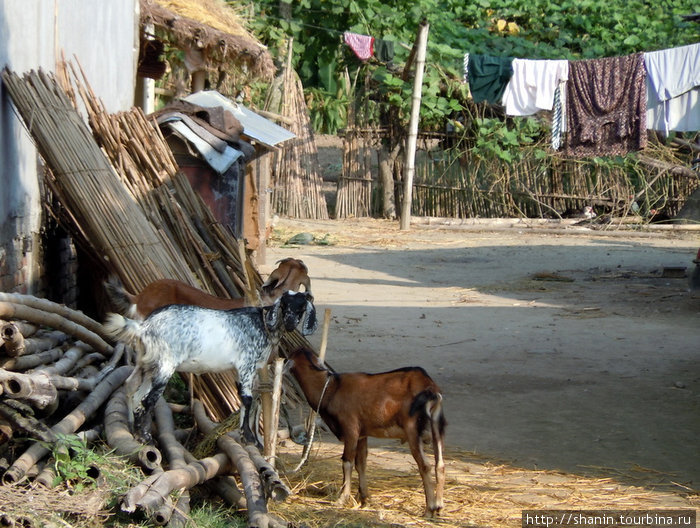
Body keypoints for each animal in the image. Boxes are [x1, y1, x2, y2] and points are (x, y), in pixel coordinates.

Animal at [104, 290, 318, 444]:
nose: (290, 322)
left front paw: (248, 437)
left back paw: (134, 430)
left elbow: (248, 401)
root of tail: (145, 326)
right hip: (165, 366)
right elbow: (247, 400)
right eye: (284, 304)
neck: (262, 323)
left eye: (301, 307)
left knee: (133, 390)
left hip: (147, 364)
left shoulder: (245, 372)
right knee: (148, 400)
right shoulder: (246, 366)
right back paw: (145, 438)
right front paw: (250, 438)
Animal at [286, 346, 446, 516]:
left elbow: (347, 461)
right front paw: (364, 499)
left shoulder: (350, 430)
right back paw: (439, 507)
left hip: (413, 431)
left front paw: (342, 499)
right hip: (437, 427)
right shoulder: (362, 435)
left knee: (425, 466)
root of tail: (430, 389)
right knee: (440, 465)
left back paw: (429, 509)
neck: (331, 388)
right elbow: (361, 463)